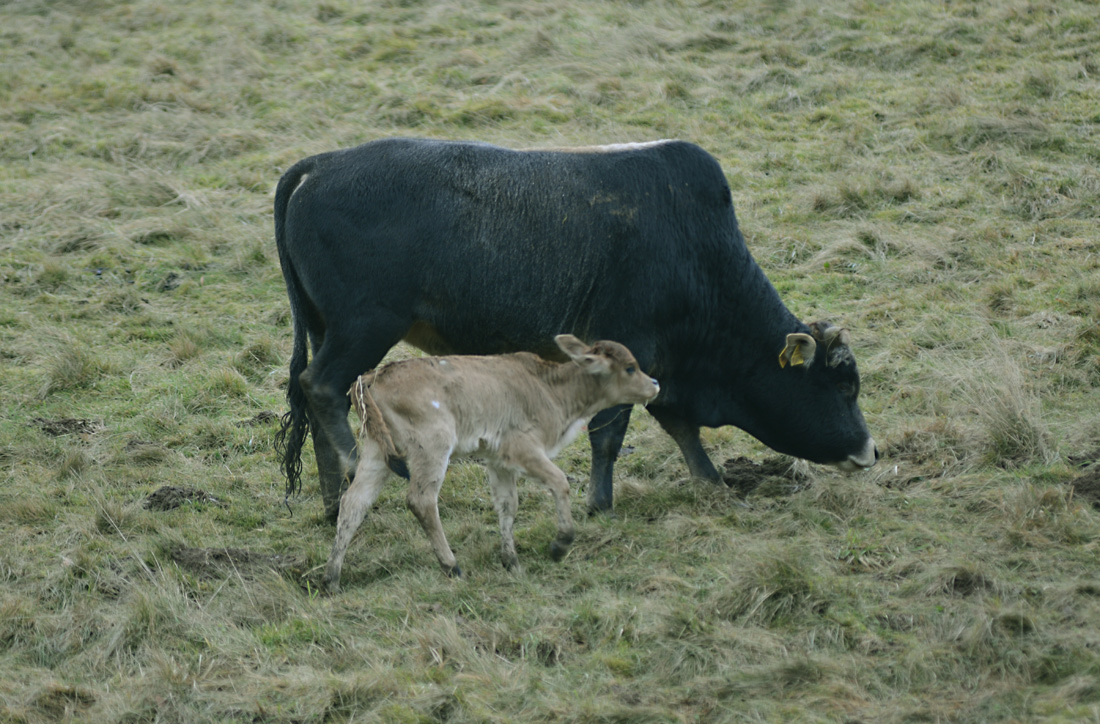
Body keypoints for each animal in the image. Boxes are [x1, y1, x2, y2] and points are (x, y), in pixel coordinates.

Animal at [272, 136, 875, 519]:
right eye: (844, 384)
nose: (870, 451)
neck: (695, 251)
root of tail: (321, 165)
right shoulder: (632, 349)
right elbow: (610, 431)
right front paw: (599, 504)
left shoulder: (667, 369)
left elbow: (679, 425)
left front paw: (712, 480)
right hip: (364, 327)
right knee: (321, 387)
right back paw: (364, 473)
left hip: (330, 329)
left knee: (320, 402)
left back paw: (333, 501)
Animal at [321, 332, 655, 585]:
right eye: (630, 368)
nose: (655, 384)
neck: (550, 390)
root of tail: (370, 377)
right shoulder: (523, 447)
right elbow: (560, 482)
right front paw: (560, 545)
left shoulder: (499, 460)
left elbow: (508, 505)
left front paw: (512, 561)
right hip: (432, 445)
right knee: (421, 500)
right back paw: (451, 566)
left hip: (377, 452)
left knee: (354, 503)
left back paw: (331, 578)